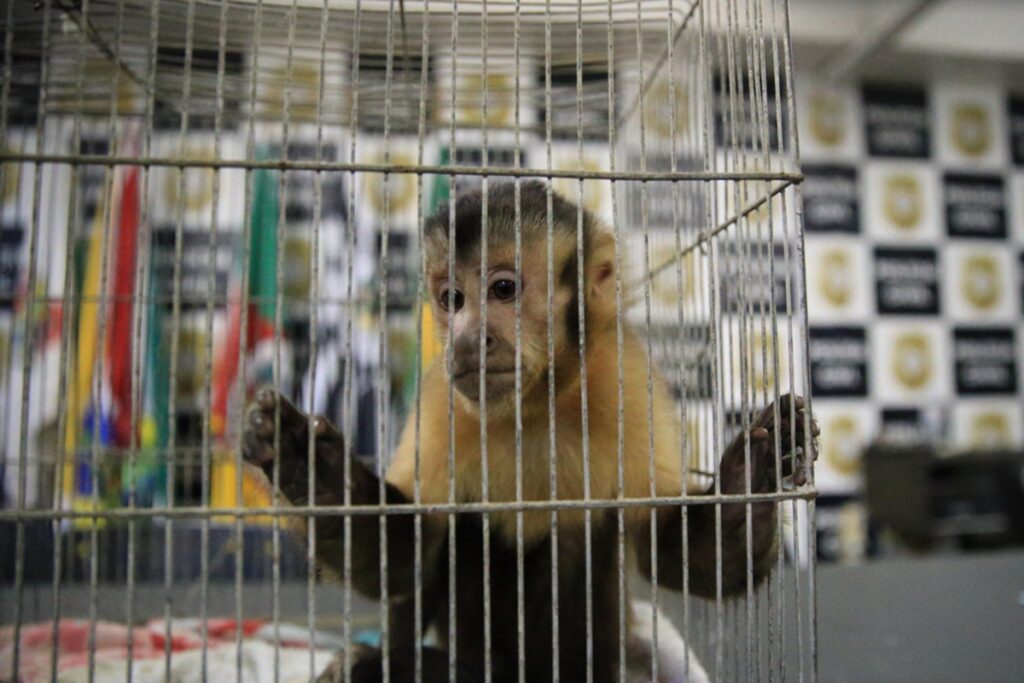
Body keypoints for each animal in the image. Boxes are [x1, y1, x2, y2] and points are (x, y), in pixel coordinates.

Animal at [242, 180, 817, 683]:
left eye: (502, 289)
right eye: (452, 299)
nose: (468, 339)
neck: (536, 403)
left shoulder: (628, 378)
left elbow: (677, 554)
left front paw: (755, 473)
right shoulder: (442, 399)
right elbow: (407, 553)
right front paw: (309, 469)